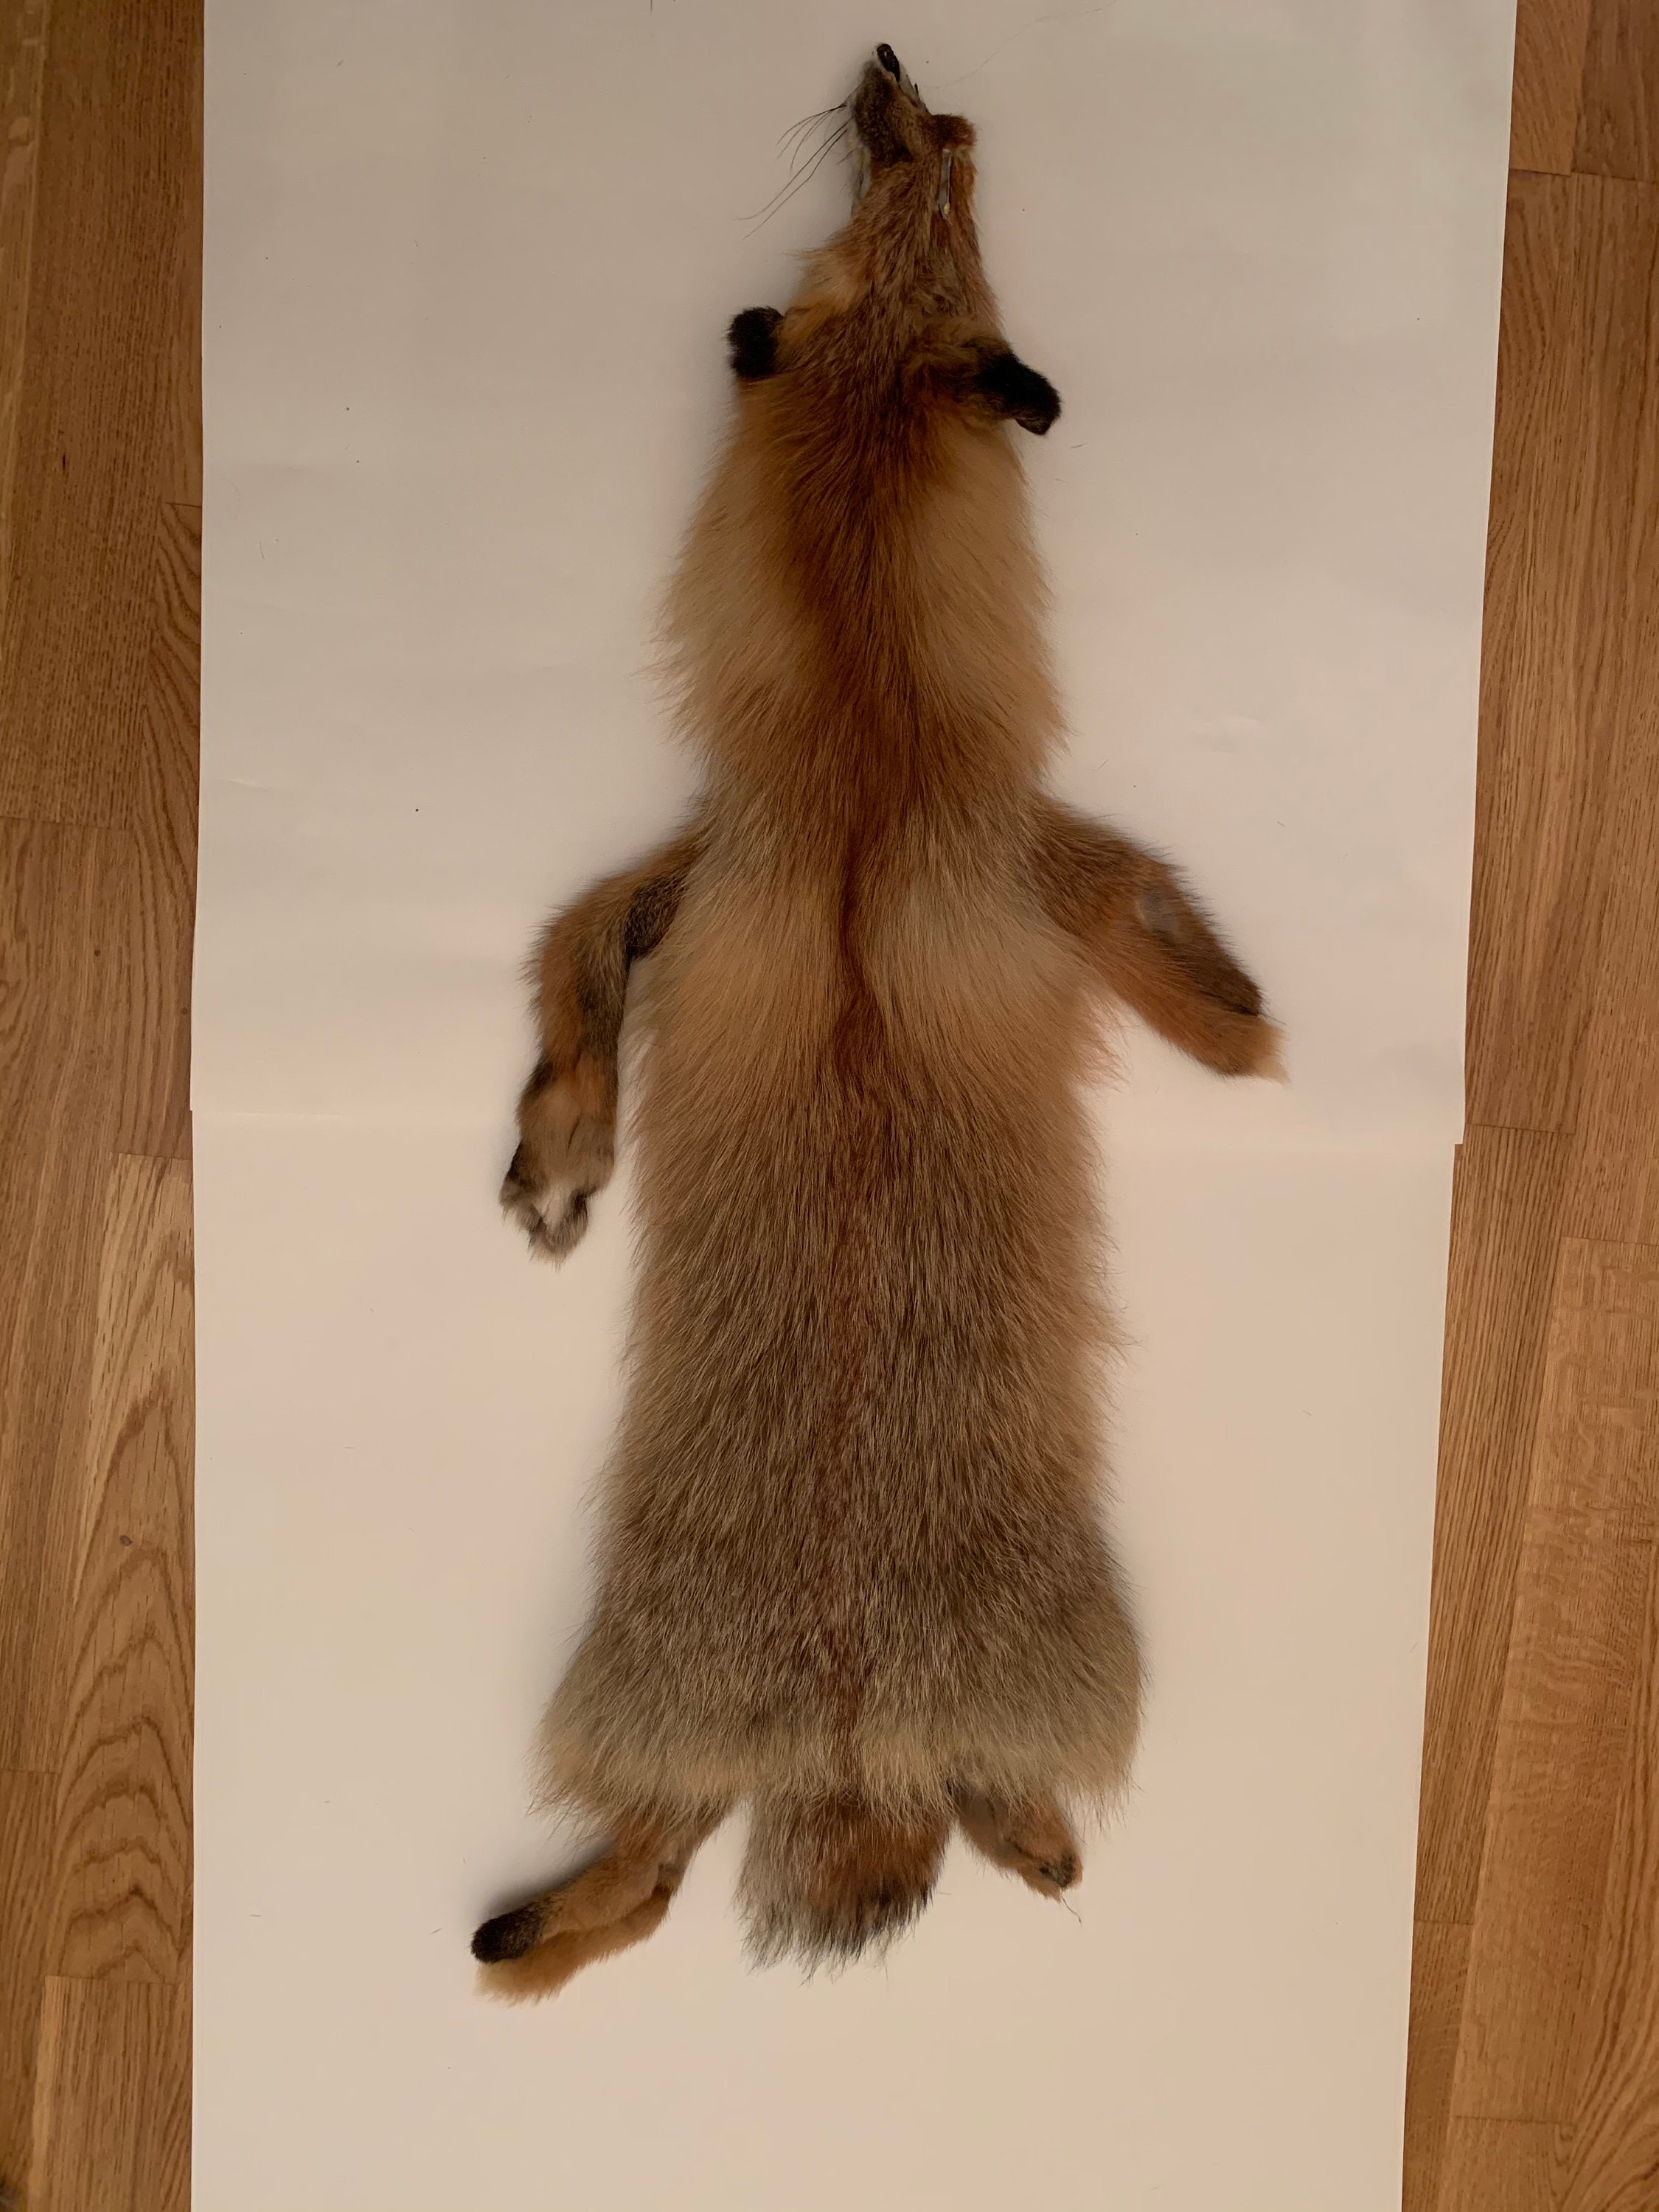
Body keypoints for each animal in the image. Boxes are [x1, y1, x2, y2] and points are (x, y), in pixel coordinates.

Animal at [472, 44, 1280, 2000]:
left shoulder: (937, 861)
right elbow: (566, 958)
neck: (857, 779)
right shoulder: (732, 864)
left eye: (951, 198)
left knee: (701, 1872)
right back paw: (531, 1925)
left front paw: (1244, 1023)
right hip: (684, 1747)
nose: (904, 74)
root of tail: (852, 1742)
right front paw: (560, 1160)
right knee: (661, 1875)